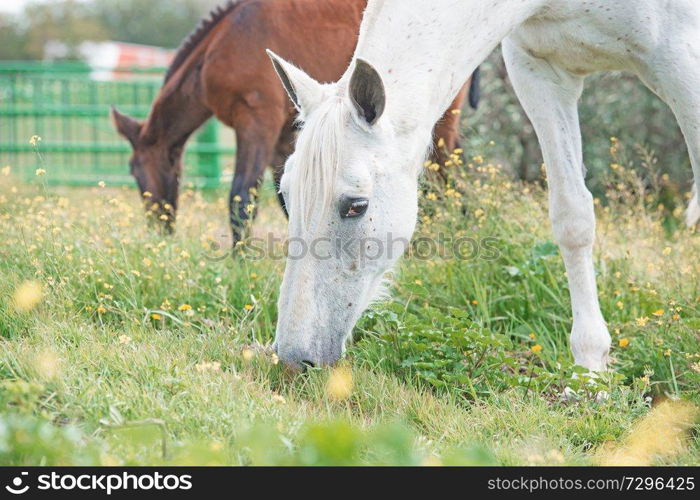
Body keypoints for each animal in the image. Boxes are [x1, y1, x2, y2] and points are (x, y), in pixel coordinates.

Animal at [110, 0, 482, 240]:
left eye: (137, 173)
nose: (159, 230)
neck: (221, 46)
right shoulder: (281, 138)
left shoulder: (256, 123)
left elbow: (241, 198)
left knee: (448, 179)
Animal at [266, 0, 700, 370]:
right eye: (285, 197)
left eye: (356, 206)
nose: (293, 358)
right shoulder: (540, 72)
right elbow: (572, 218)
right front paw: (590, 368)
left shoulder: (682, 63)